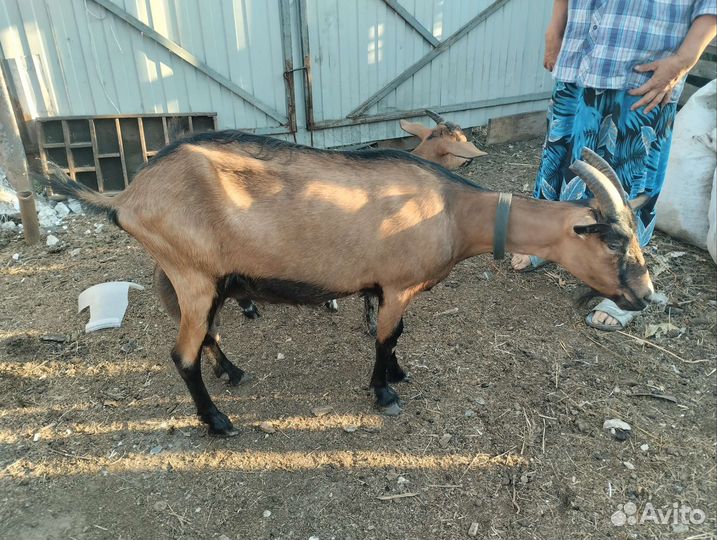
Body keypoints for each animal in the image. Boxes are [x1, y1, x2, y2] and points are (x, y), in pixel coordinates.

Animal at [50, 133, 655, 436]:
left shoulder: (389, 287)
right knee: (181, 354)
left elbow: (396, 333)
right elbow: (387, 335)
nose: (646, 297)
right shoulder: (398, 282)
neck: (454, 211)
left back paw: (232, 371)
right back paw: (217, 421)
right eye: (614, 240)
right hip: (196, 276)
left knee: (196, 332)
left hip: (189, 273)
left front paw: (398, 374)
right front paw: (385, 391)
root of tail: (126, 195)